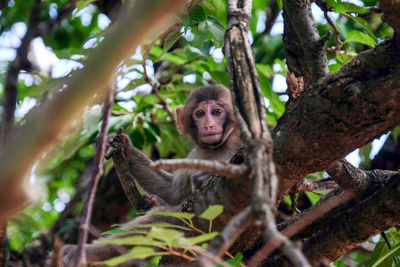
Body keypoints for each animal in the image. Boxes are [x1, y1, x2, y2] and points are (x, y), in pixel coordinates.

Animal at [52, 85, 247, 266]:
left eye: (216, 112)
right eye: (200, 113)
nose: (208, 125)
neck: (216, 147)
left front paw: (204, 177)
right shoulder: (195, 154)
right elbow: (172, 193)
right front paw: (125, 147)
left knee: (163, 219)